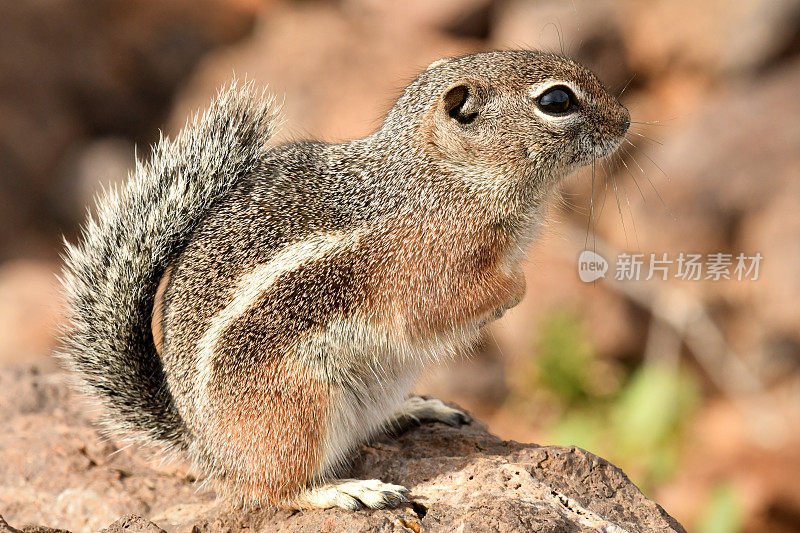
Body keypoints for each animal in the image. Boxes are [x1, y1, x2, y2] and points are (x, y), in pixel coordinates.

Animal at [57, 50, 632, 508]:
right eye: (556, 101)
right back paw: (347, 491)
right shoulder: (429, 264)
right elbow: (442, 306)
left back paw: (414, 408)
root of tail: (206, 448)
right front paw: (517, 289)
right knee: (275, 490)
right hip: (299, 405)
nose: (626, 120)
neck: (442, 175)